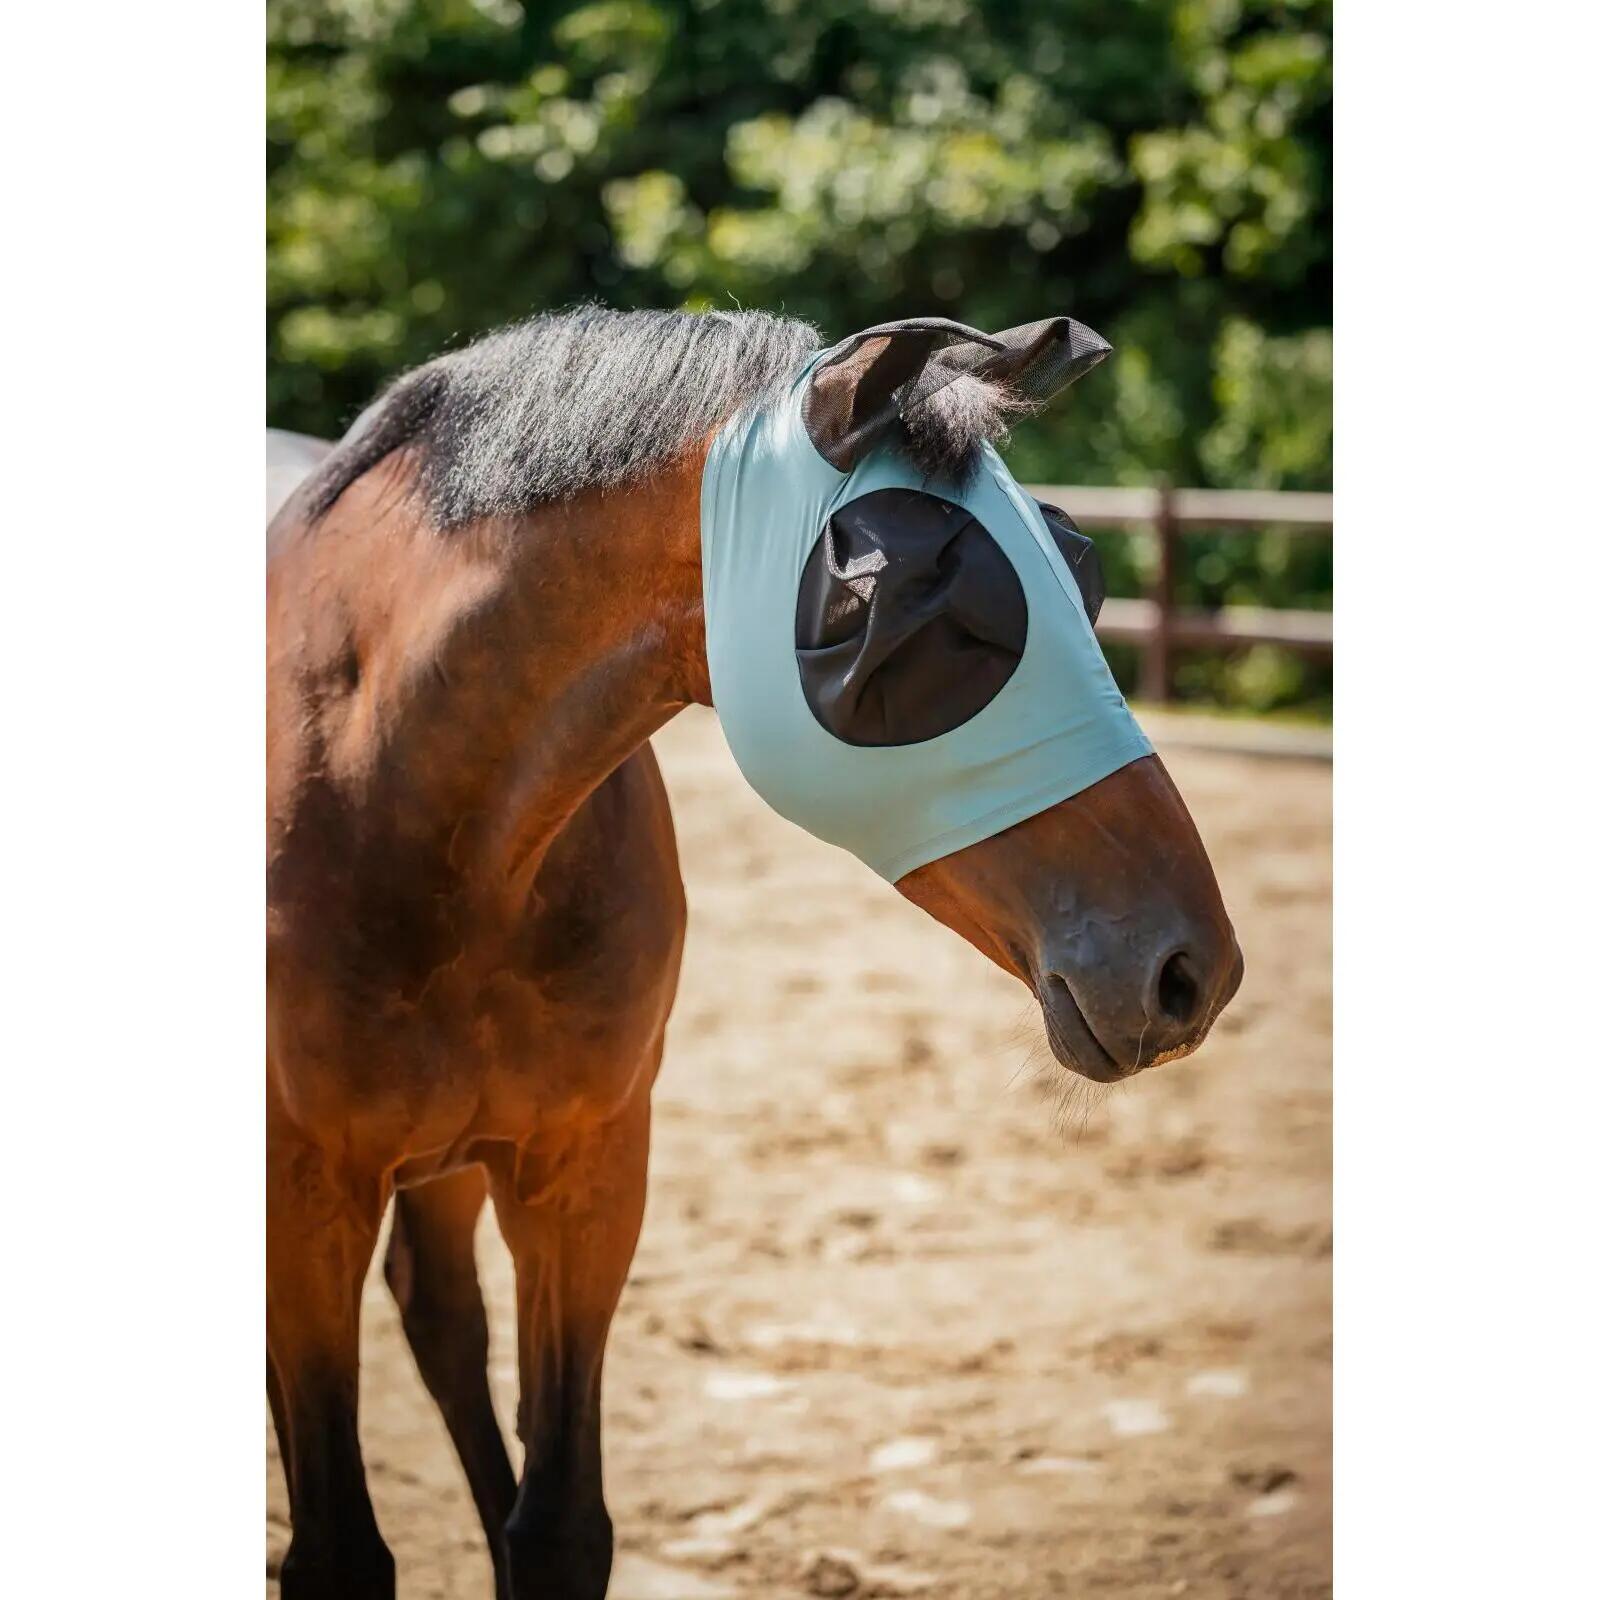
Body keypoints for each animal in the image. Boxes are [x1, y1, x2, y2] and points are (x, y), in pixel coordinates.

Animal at [266, 306, 1242, 1600]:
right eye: (898, 610)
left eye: (1077, 566)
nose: (1191, 970)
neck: (403, 796)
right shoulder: (302, 1193)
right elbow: (336, 1550)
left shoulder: (584, 1168)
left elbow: (557, 1523)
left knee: (441, 1320)